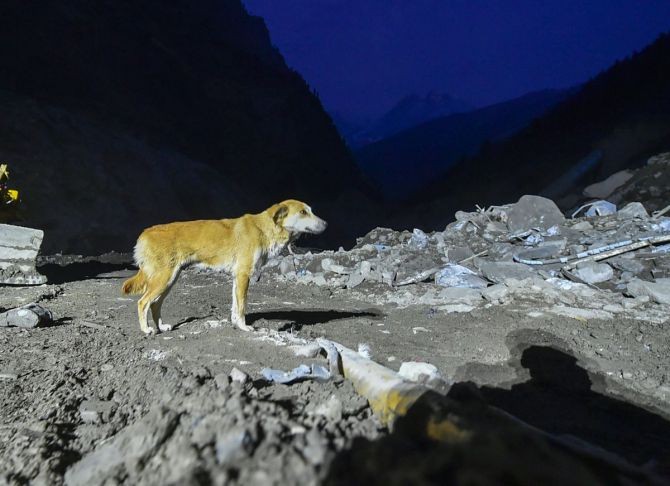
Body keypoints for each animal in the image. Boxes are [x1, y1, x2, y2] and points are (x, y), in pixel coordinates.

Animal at [124, 200, 330, 334]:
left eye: (310, 211)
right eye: (303, 212)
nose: (326, 224)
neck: (264, 230)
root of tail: (145, 233)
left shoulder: (237, 277)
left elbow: (235, 306)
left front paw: (235, 324)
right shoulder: (243, 275)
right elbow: (242, 307)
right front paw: (244, 327)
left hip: (170, 279)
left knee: (155, 304)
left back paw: (161, 327)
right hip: (163, 278)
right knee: (143, 302)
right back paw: (146, 329)